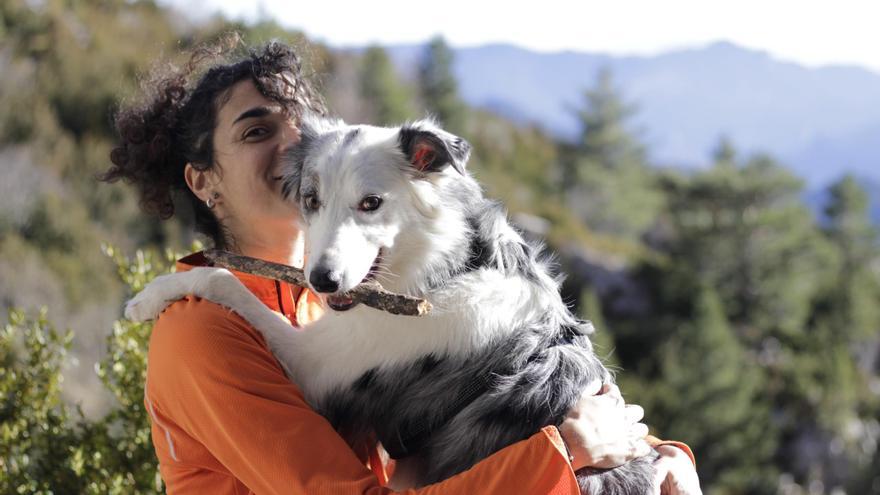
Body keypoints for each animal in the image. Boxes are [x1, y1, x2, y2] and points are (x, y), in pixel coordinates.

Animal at [127, 117, 656, 495]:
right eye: (311, 200)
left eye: (371, 203)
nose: (322, 280)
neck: (451, 265)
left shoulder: (315, 367)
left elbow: (222, 279)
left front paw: (150, 295)